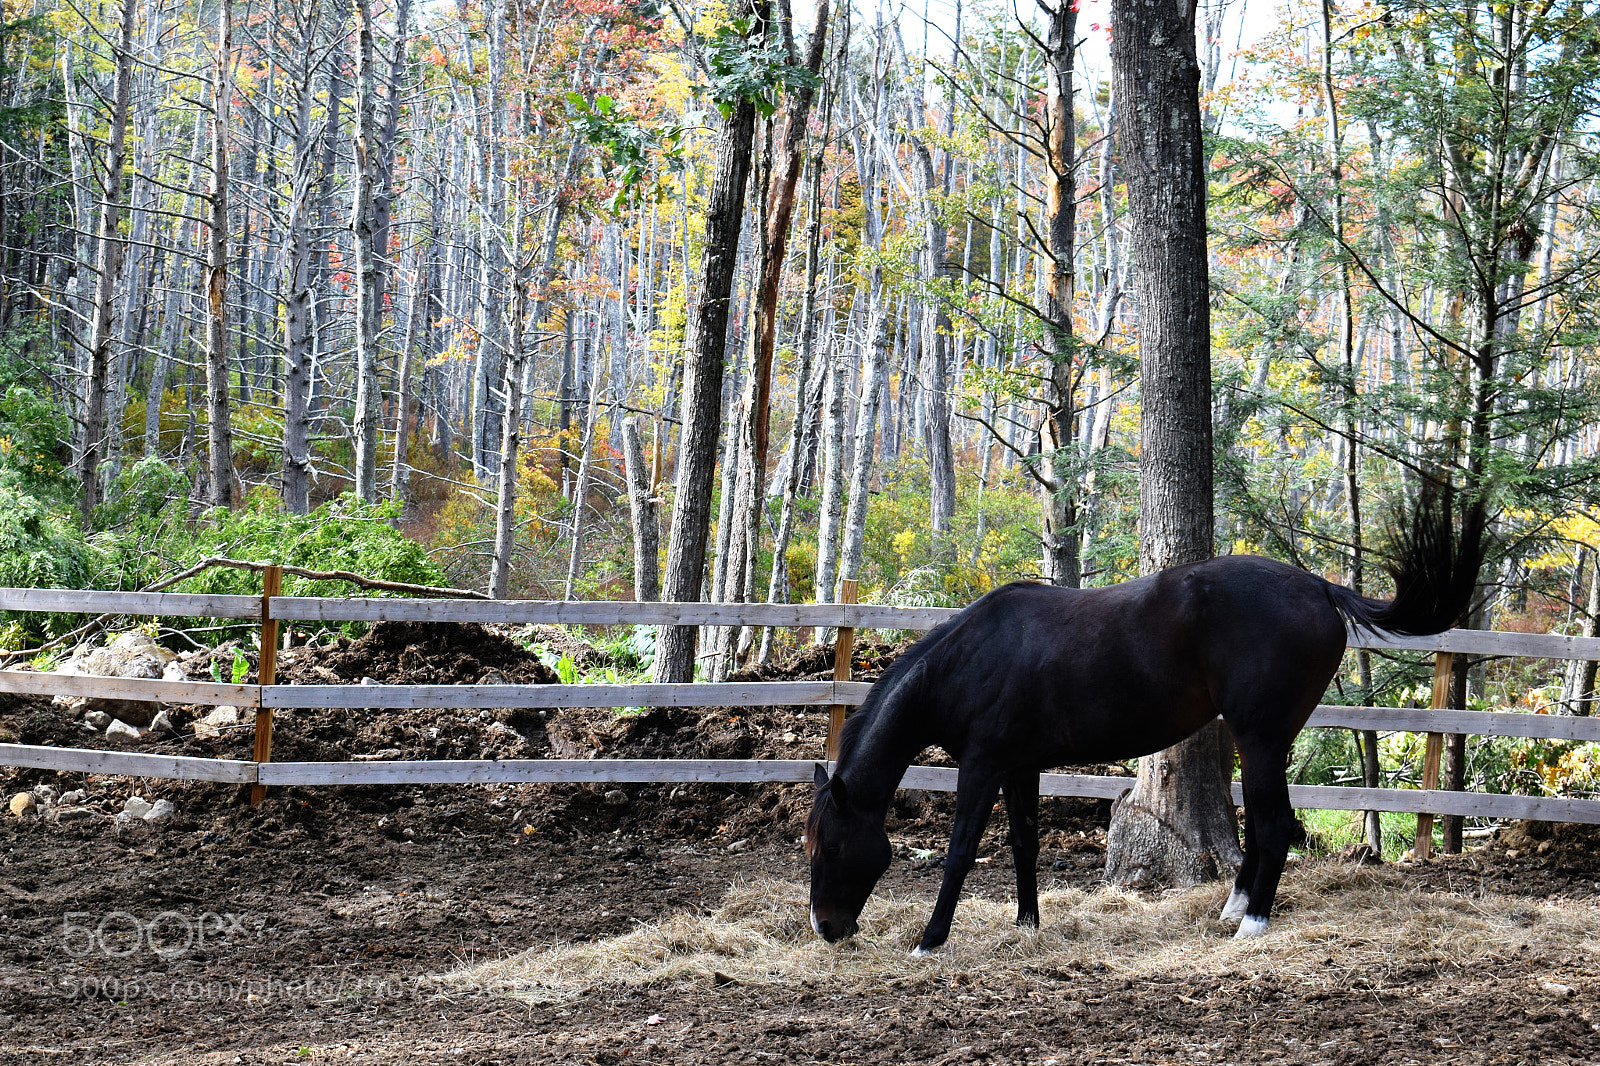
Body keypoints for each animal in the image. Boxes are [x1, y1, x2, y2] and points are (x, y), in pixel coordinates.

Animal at [806, 489, 1485, 953]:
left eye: (831, 845)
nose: (827, 929)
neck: (972, 659)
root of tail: (1320, 588)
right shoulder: (1019, 767)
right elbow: (1024, 843)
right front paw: (1027, 924)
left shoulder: (981, 768)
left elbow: (960, 853)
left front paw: (929, 940)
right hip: (1263, 741)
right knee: (1266, 823)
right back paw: (1232, 909)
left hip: (1261, 737)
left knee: (1272, 824)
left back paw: (1253, 924)